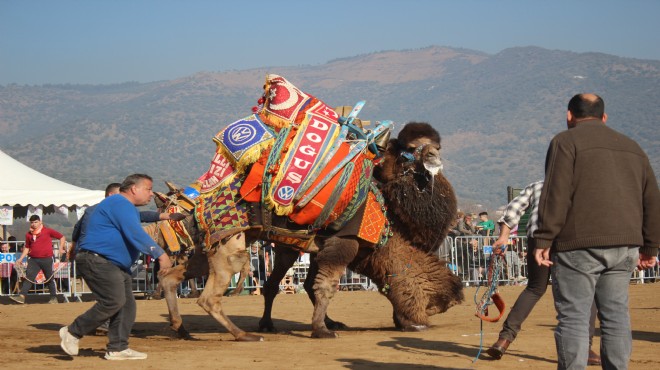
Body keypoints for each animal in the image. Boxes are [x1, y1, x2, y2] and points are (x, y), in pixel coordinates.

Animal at [155, 74, 464, 342]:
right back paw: (245, 334)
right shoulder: (343, 242)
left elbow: (309, 285)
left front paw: (324, 323)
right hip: (232, 246)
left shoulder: (315, 246)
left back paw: (183, 328)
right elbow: (325, 287)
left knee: (172, 277)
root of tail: (187, 204)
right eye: (432, 303)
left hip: (207, 245)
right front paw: (322, 330)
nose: (420, 323)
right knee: (211, 296)